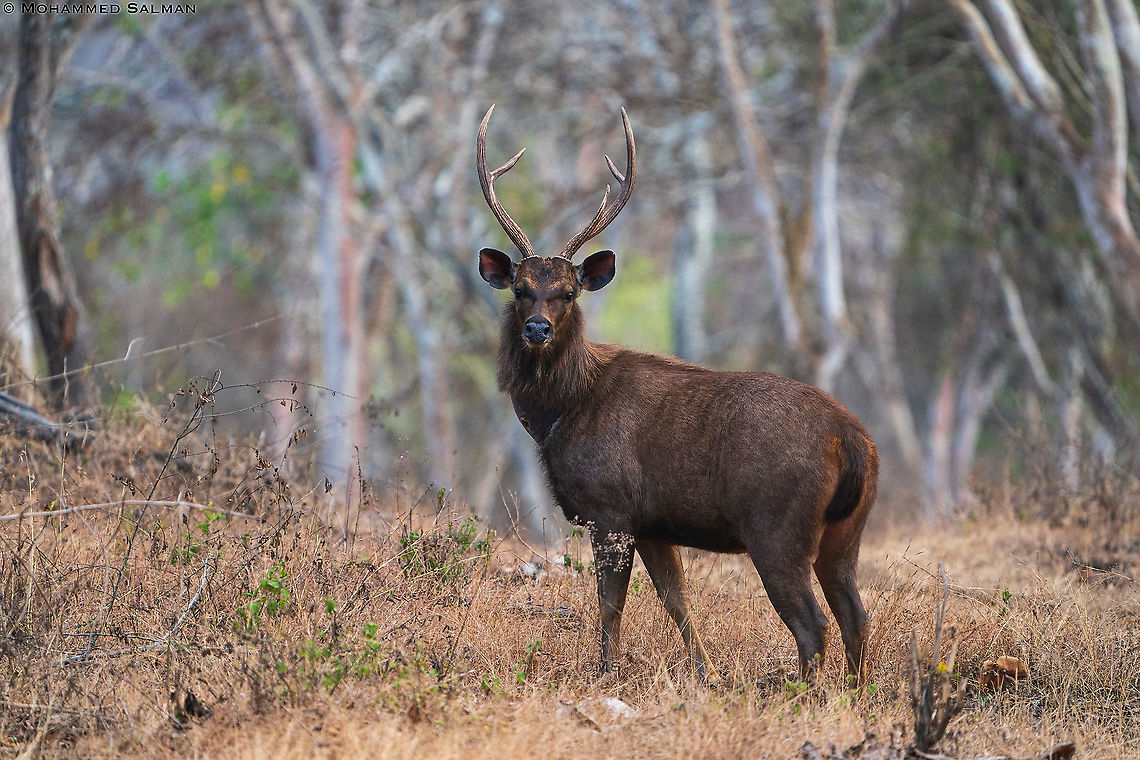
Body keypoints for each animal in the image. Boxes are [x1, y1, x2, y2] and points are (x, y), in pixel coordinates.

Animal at [475, 105, 879, 685]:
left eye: (568, 293)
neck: (563, 413)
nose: (536, 328)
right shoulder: (653, 523)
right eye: (520, 288)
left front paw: (607, 674)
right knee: (855, 615)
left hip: (778, 525)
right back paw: (855, 695)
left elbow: (611, 604)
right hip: (847, 532)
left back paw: (803, 694)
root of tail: (853, 441)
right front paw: (705, 673)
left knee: (813, 623)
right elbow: (676, 599)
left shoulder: (611, 507)